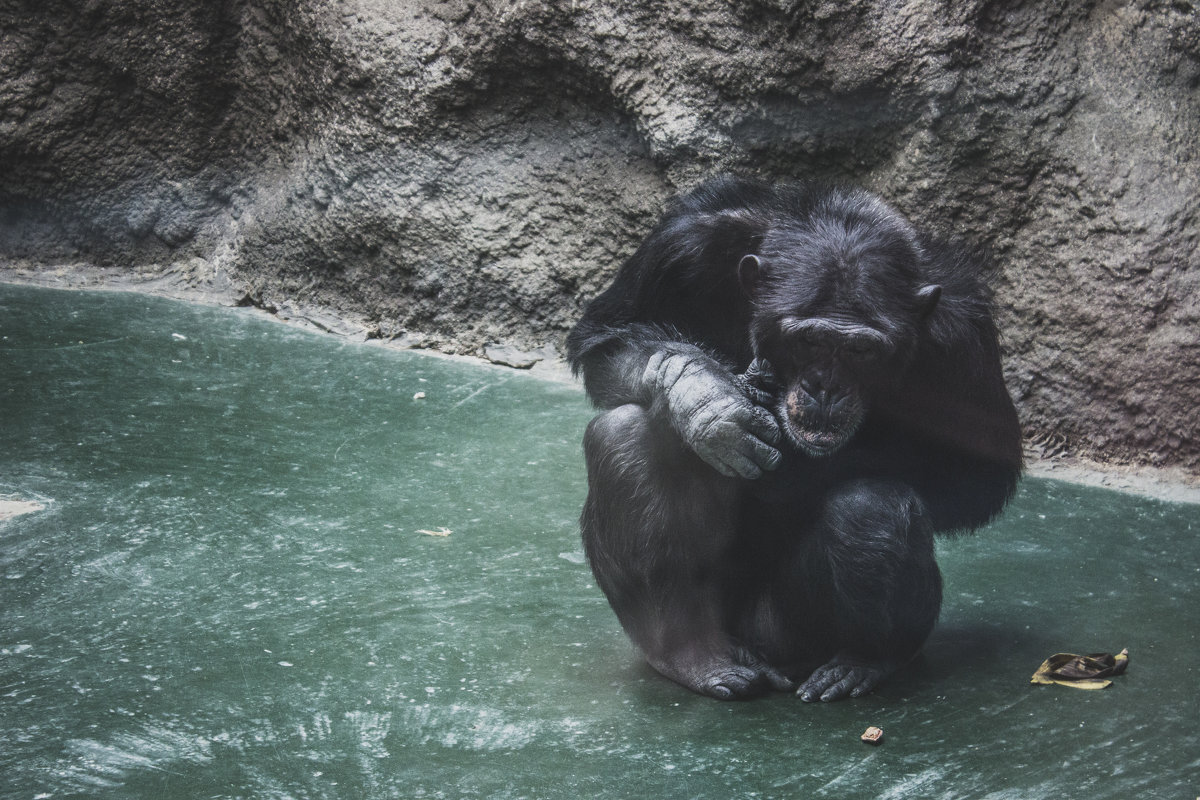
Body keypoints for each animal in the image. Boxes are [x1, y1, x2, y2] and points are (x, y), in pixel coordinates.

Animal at [564, 175, 1022, 700]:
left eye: (861, 350)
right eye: (808, 340)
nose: (825, 387)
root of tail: (766, 658)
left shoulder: (965, 326)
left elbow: (981, 472)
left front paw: (788, 469)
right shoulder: (681, 242)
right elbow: (607, 335)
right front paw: (704, 399)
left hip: (786, 630)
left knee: (870, 506)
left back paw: (869, 659)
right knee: (623, 434)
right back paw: (691, 654)